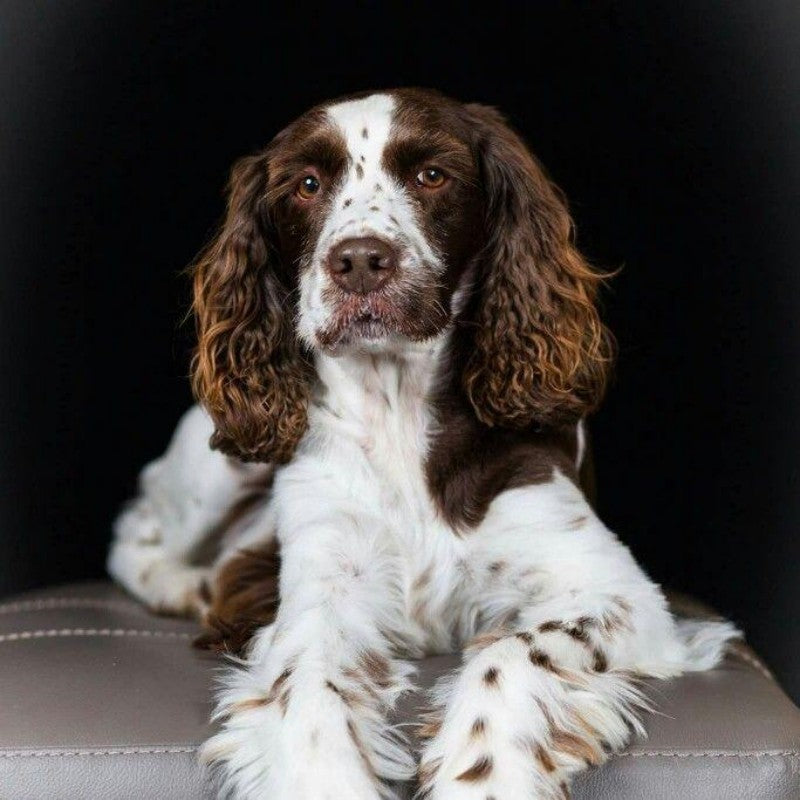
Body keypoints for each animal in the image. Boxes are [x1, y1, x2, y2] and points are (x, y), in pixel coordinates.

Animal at [108, 89, 736, 800]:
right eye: (306, 185)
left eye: (432, 175)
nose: (359, 260)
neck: (397, 409)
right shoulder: (321, 595)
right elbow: (310, 688)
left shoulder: (617, 593)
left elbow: (513, 652)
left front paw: (486, 777)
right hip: (219, 469)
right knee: (137, 523)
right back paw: (183, 586)